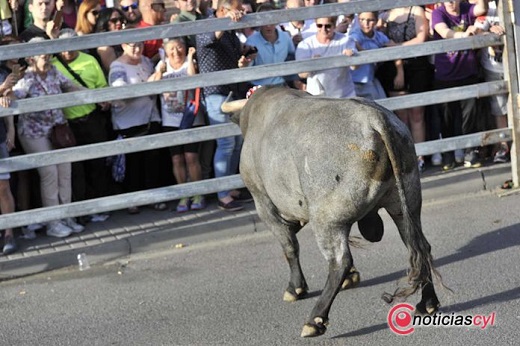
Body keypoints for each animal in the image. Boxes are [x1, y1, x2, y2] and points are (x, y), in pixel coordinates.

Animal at [221, 87, 440, 338]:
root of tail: (375, 119)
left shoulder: (264, 203)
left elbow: (289, 247)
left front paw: (295, 287)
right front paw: (352, 277)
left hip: (326, 219)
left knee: (339, 261)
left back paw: (314, 319)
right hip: (405, 206)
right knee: (419, 247)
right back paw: (428, 302)